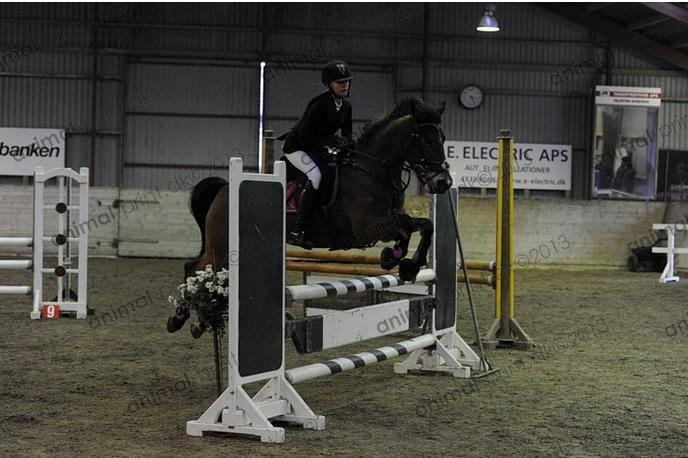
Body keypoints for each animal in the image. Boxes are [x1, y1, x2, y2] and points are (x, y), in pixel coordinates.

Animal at [169, 96, 454, 332]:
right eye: (428, 140)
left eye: (443, 139)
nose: (443, 183)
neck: (372, 170)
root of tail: (223, 189)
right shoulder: (368, 228)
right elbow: (406, 229)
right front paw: (397, 259)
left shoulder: (388, 221)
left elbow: (425, 225)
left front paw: (403, 263)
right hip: (223, 248)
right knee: (197, 269)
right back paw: (184, 319)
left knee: (196, 268)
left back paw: (194, 321)